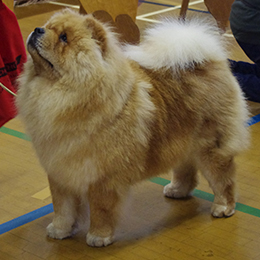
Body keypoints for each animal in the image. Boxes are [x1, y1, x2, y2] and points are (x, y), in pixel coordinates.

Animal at [16, 9, 250, 247]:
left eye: (64, 38)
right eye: (48, 26)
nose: (37, 30)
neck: (57, 93)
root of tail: (210, 60)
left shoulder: (103, 177)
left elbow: (100, 208)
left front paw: (98, 237)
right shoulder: (58, 169)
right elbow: (62, 207)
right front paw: (59, 230)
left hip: (210, 146)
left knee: (223, 177)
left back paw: (223, 207)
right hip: (183, 141)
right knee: (186, 169)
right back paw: (177, 190)